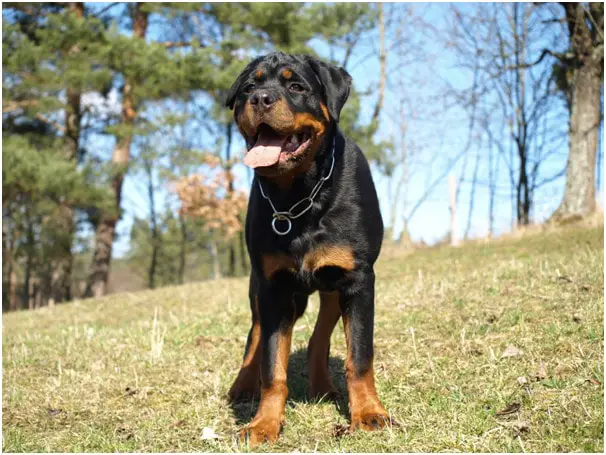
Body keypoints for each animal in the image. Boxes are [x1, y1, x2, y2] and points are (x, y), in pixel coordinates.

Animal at [227, 52, 390, 446]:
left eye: (296, 86)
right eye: (249, 87)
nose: (261, 99)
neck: (300, 196)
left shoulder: (358, 280)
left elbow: (359, 355)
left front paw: (369, 413)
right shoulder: (273, 287)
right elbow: (272, 364)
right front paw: (263, 423)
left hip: (331, 288)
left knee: (319, 337)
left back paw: (322, 387)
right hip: (262, 289)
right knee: (255, 335)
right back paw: (242, 386)